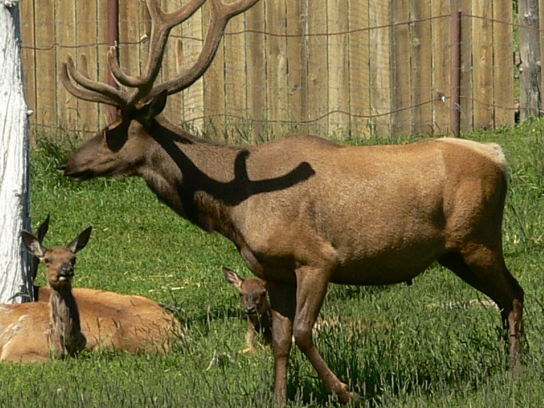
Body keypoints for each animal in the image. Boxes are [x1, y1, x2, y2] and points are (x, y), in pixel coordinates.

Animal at [59, 0, 524, 404]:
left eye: (112, 132)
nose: (68, 164)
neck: (234, 208)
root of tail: (498, 156)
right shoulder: (275, 270)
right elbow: (280, 340)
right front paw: (280, 398)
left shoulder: (317, 258)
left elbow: (302, 331)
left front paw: (348, 392)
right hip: (455, 252)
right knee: (508, 296)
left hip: (478, 239)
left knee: (514, 293)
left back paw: (514, 370)